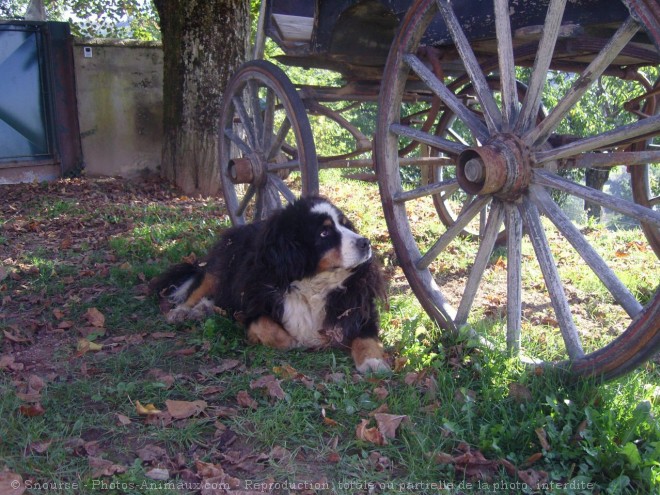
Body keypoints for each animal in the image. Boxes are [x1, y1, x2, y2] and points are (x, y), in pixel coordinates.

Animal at [152, 196, 390, 374]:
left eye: (345, 224)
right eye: (324, 233)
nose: (365, 242)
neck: (312, 284)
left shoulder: (360, 309)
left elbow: (366, 338)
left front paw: (373, 362)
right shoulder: (253, 302)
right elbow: (266, 326)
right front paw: (293, 341)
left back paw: (203, 308)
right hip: (220, 267)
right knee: (200, 287)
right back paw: (182, 311)